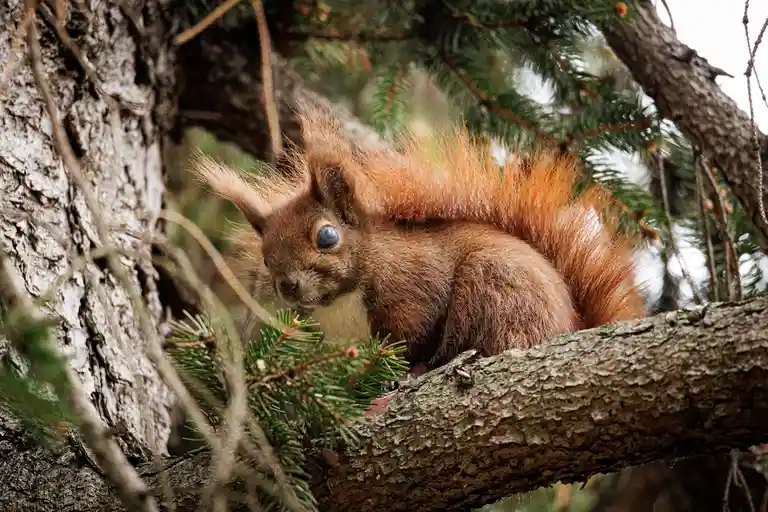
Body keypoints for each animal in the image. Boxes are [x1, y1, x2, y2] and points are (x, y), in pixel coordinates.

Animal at [193, 104, 647, 382]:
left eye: (327, 236)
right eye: (266, 258)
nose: (287, 285)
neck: (342, 302)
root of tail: (574, 327)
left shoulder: (413, 289)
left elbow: (413, 334)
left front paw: (404, 371)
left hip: (497, 289)